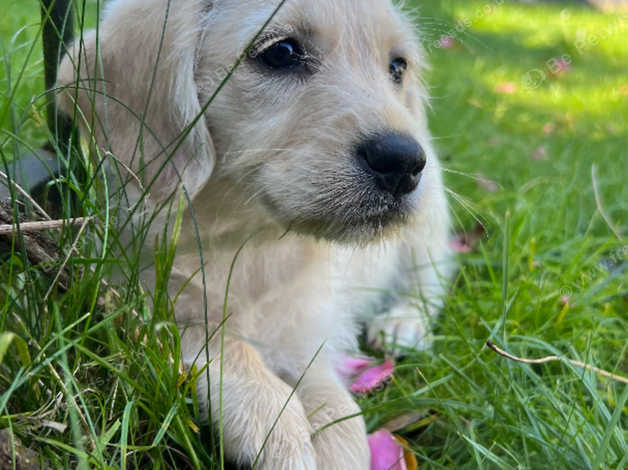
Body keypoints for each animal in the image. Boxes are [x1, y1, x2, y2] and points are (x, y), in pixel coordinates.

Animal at [57, 0, 452, 468]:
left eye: (397, 67)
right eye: (281, 52)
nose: (405, 161)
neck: (249, 237)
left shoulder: (310, 332)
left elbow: (336, 404)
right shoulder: (133, 292)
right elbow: (214, 336)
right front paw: (270, 413)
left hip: (427, 225)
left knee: (429, 277)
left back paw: (403, 322)